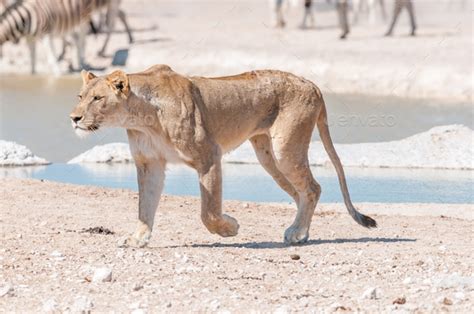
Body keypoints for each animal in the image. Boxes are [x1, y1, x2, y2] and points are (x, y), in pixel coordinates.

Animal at [0, 0, 133, 74]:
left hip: (86, 15)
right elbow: (33, 58)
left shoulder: (45, 34)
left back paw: (84, 60)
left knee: (86, 36)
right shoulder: (30, 38)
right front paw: (32, 74)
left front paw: (57, 72)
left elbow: (51, 58)